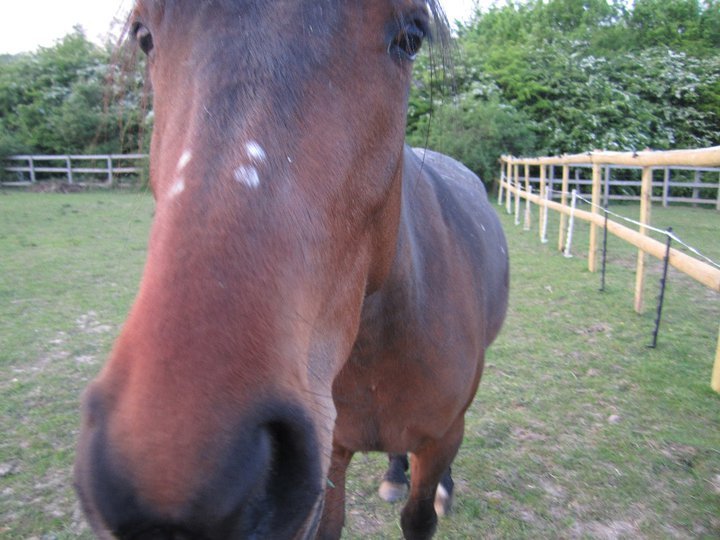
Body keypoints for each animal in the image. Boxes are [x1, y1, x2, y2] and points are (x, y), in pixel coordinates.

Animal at [74, 1, 509, 539]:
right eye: (143, 36)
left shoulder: (439, 437)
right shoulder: (332, 453)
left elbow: (419, 516)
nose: (177, 480)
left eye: (411, 37)